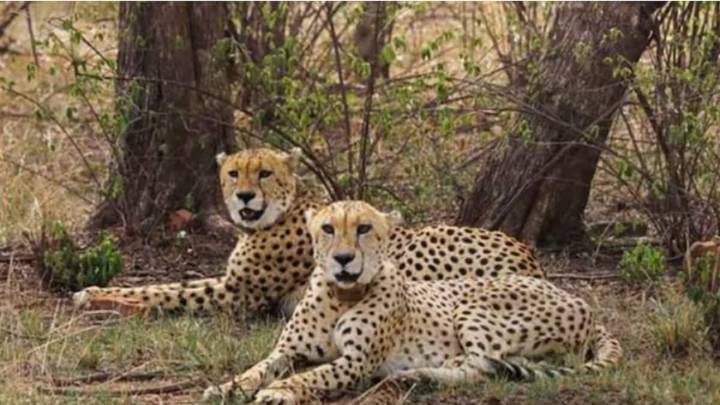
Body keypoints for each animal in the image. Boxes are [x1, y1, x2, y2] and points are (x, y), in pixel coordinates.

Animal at [73, 147, 544, 319]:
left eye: (264, 173)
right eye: (233, 173)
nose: (244, 196)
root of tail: (528, 255)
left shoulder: (239, 294)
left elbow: (166, 292)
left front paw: (98, 297)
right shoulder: (232, 282)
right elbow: (170, 284)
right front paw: (96, 290)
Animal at [202, 200, 621, 404]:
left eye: (364, 228)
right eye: (328, 228)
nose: (343, 259)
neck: (341, 295)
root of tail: (580, 301)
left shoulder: (356, 362)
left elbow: (312, 375)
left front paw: (280, 391)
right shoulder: (287, 351)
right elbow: (257, 368)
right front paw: (227, 387)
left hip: (472, 305)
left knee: (482, 366)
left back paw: (420, 373)